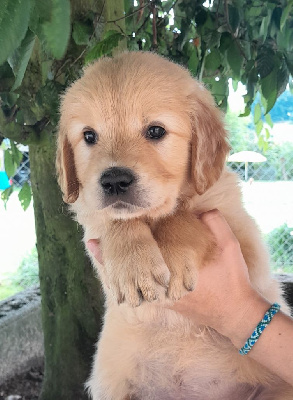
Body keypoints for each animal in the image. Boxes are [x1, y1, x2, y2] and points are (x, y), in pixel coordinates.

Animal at [56, 51, 290, 398]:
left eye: (155, 131)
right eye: (88, 136)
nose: (114, 181)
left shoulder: (240, 233)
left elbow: (182, 216)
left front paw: (174, 254)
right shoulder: (93, 220)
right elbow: (118, 220)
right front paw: (133, 267)